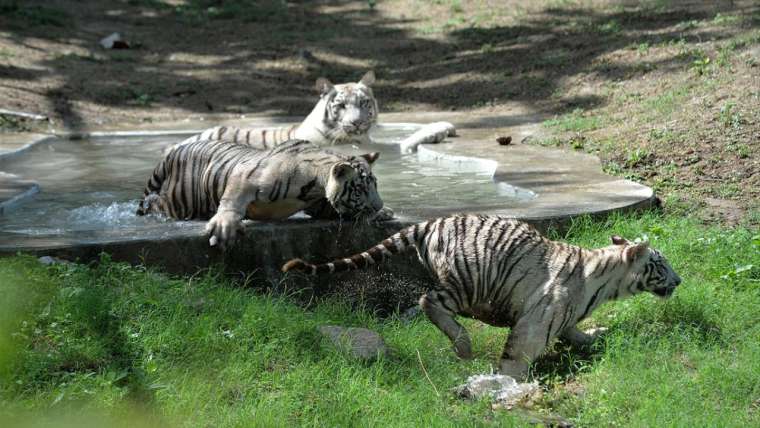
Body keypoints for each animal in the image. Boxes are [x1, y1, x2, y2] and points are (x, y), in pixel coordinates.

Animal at [284, 216, 684, 380]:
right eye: (661, 264)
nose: (679, 281)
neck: (605, 280)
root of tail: (429, 223)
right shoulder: (538, 317)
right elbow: (518, 355)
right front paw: (509, 384)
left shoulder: (564, 317)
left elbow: (574, 332)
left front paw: (594, 337)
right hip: (469, 281)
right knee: (428, 301)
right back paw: (463, 346)